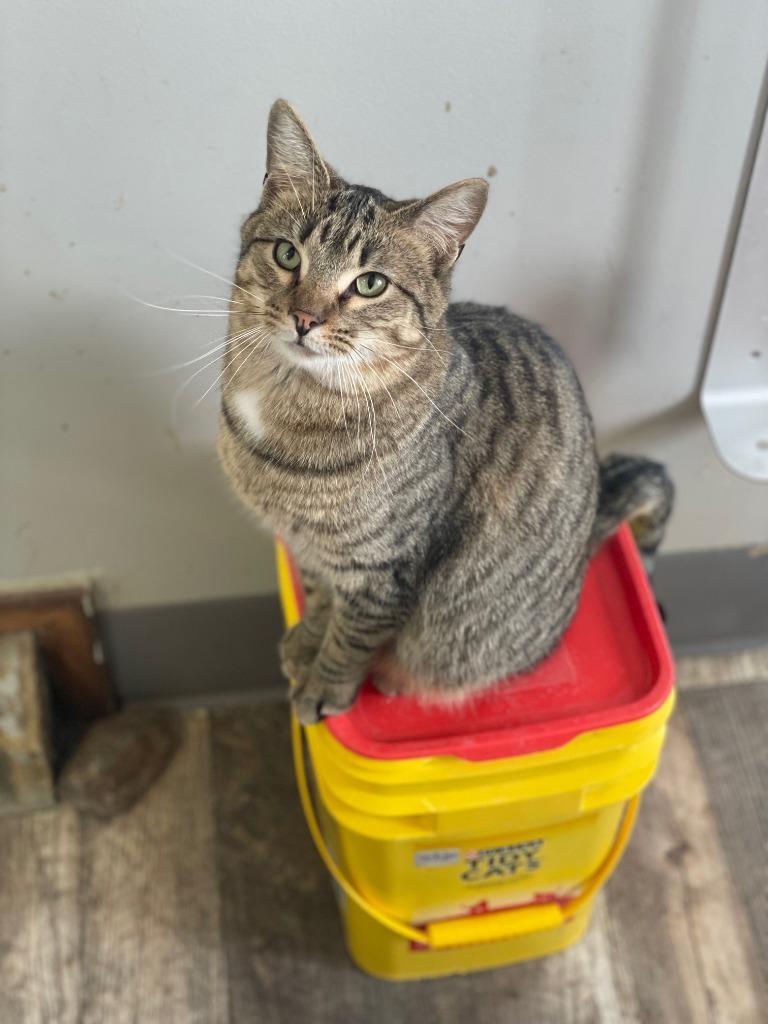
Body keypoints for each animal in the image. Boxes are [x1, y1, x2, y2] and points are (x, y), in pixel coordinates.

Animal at [218, 101, 671, 729]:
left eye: (370, 284)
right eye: (288, 254)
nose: (305, 318)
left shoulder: (383, 570)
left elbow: (349, 636)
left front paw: (324, 682)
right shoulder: (310, 547)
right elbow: (320, 596)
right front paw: (306, 639)